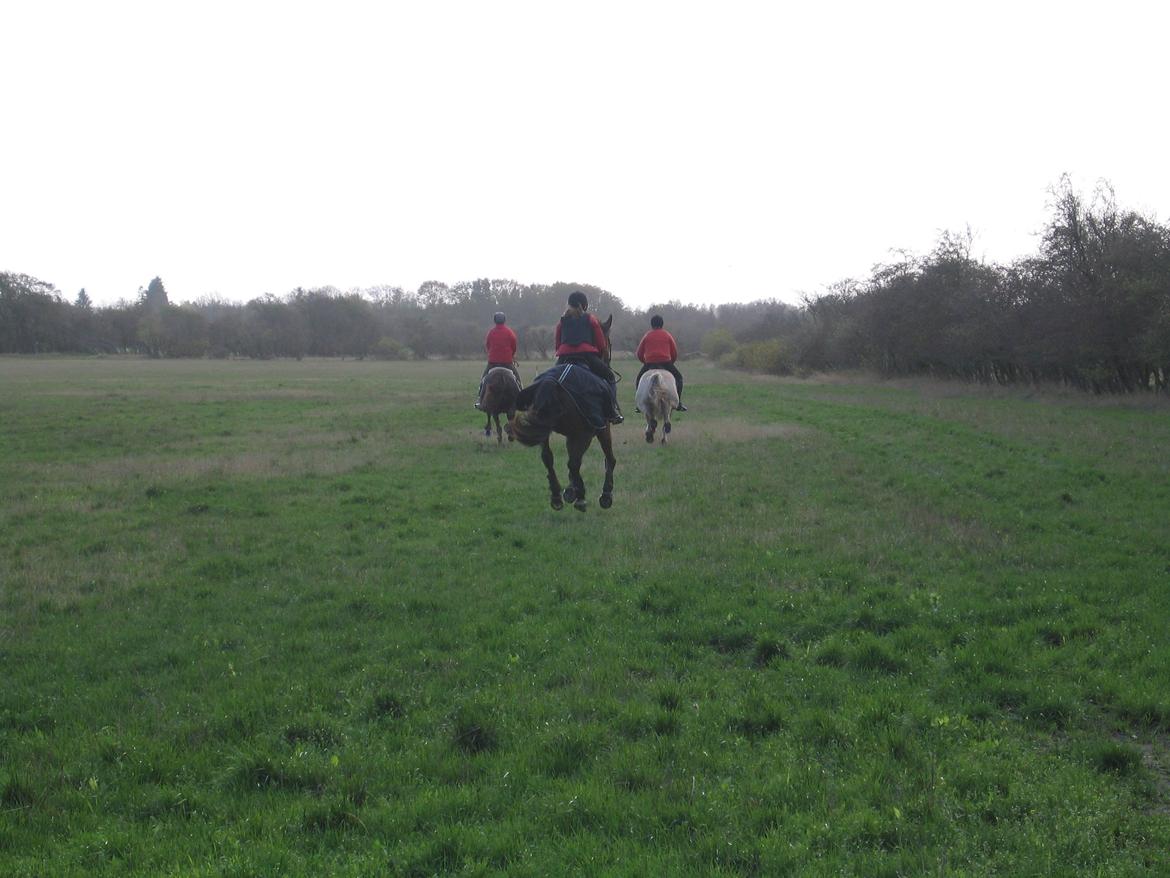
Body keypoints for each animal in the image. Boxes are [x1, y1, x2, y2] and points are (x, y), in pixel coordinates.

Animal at [514, 316, 622, 512]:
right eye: (608, 342)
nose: (608, 362)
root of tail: (551, 383)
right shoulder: (601, 428)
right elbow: (609, 459)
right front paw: (605, 494)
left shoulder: (572, 434)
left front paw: (571, 489)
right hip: (586, 433)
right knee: (574, 462)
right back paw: (580, 497)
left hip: (545, 431)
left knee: (548, 459)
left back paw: (558, 495)